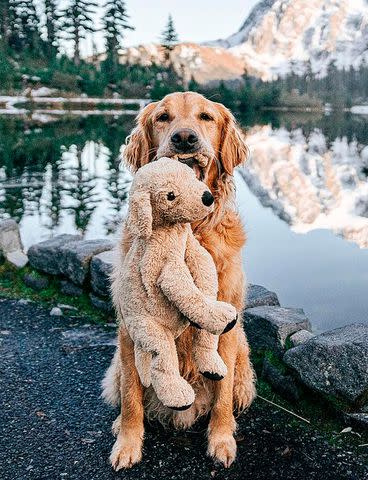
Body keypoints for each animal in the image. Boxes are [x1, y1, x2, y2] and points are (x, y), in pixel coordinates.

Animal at [102, 90, 254, 468]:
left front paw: (222, 439)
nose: (185, 138)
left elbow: (222, 394)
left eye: (205, 117)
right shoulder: (129, 326)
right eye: (163, 117)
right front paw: (128, 443)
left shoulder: (227, 325)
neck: (187, 230)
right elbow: (131, 396)